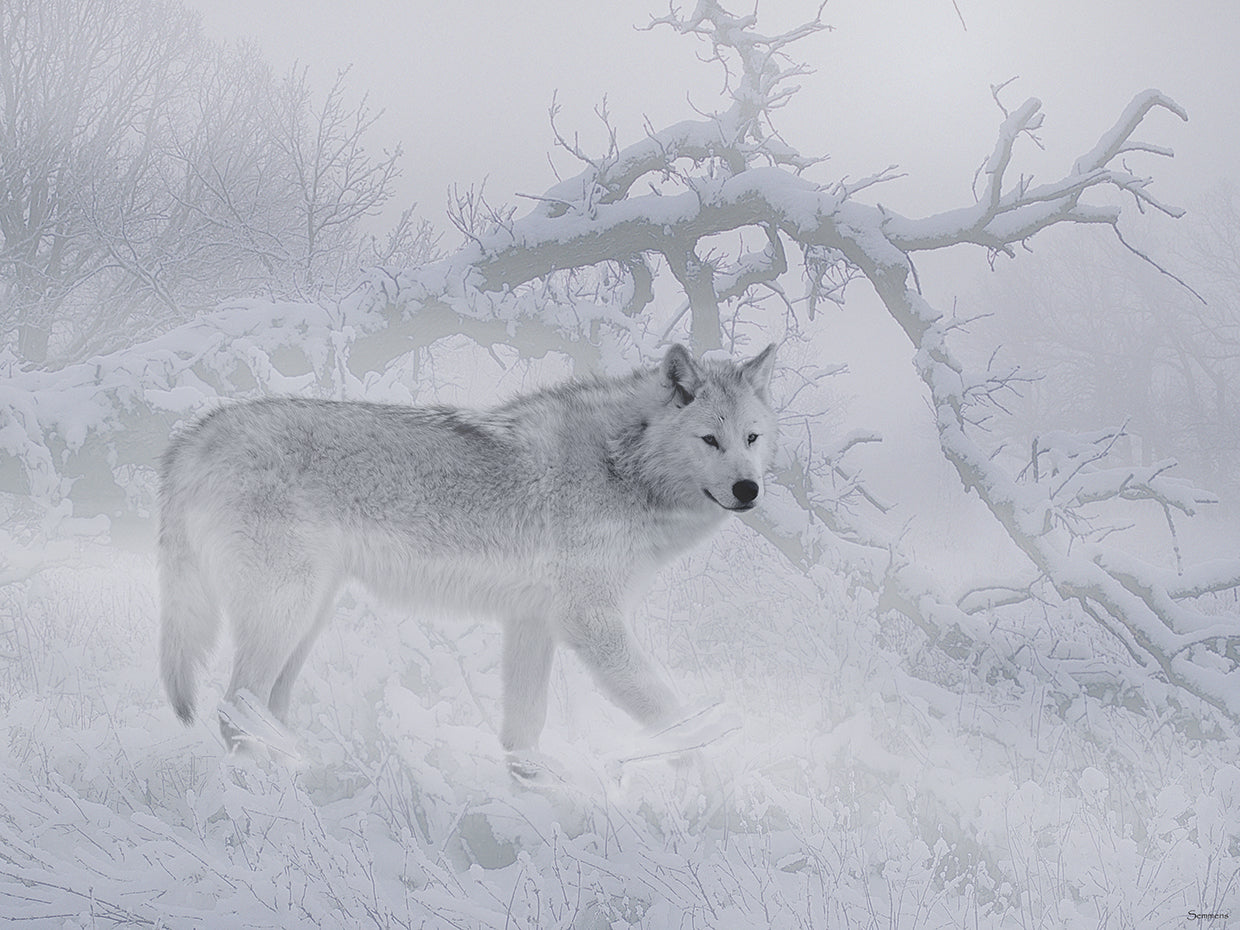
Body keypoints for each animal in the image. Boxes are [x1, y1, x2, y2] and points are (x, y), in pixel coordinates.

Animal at [158, 342, 778, 764]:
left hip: (307, 619)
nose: (748, 489)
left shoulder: (532, 623)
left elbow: (524, 734)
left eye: (752, 438)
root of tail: (195, 435)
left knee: (265, 710)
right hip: (286, 612)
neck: (620, 465)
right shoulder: (591, 623)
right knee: (233, 711)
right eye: (709, 439)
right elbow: (674, 716)